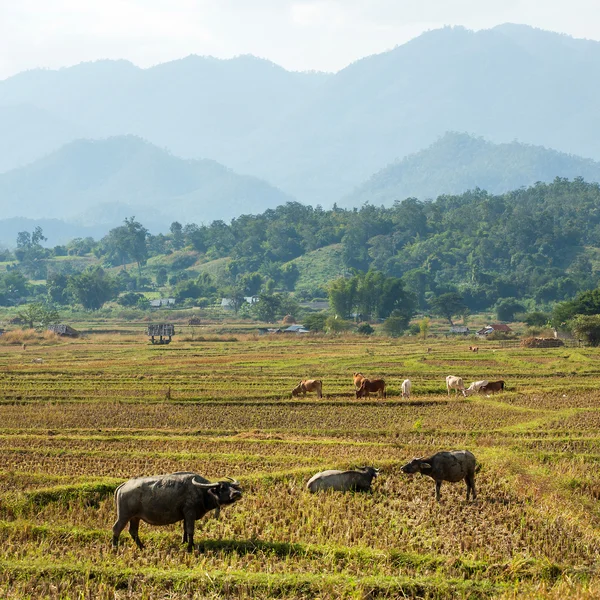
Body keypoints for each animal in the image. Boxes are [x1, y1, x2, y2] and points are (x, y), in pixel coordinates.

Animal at [111, 472, 243, 552]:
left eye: (231, 486)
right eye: (222, 488)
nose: (237, 493)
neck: (202, 492)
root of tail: (124, 485)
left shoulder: (185, 516)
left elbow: (184, 530)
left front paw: (185, 543)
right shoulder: (190, 513)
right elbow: (190, 530)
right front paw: (189, 548)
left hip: (135, 517)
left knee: (133, 531)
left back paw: (142, 547)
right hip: (124, 516)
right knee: (116, 529)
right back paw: (115, 548)